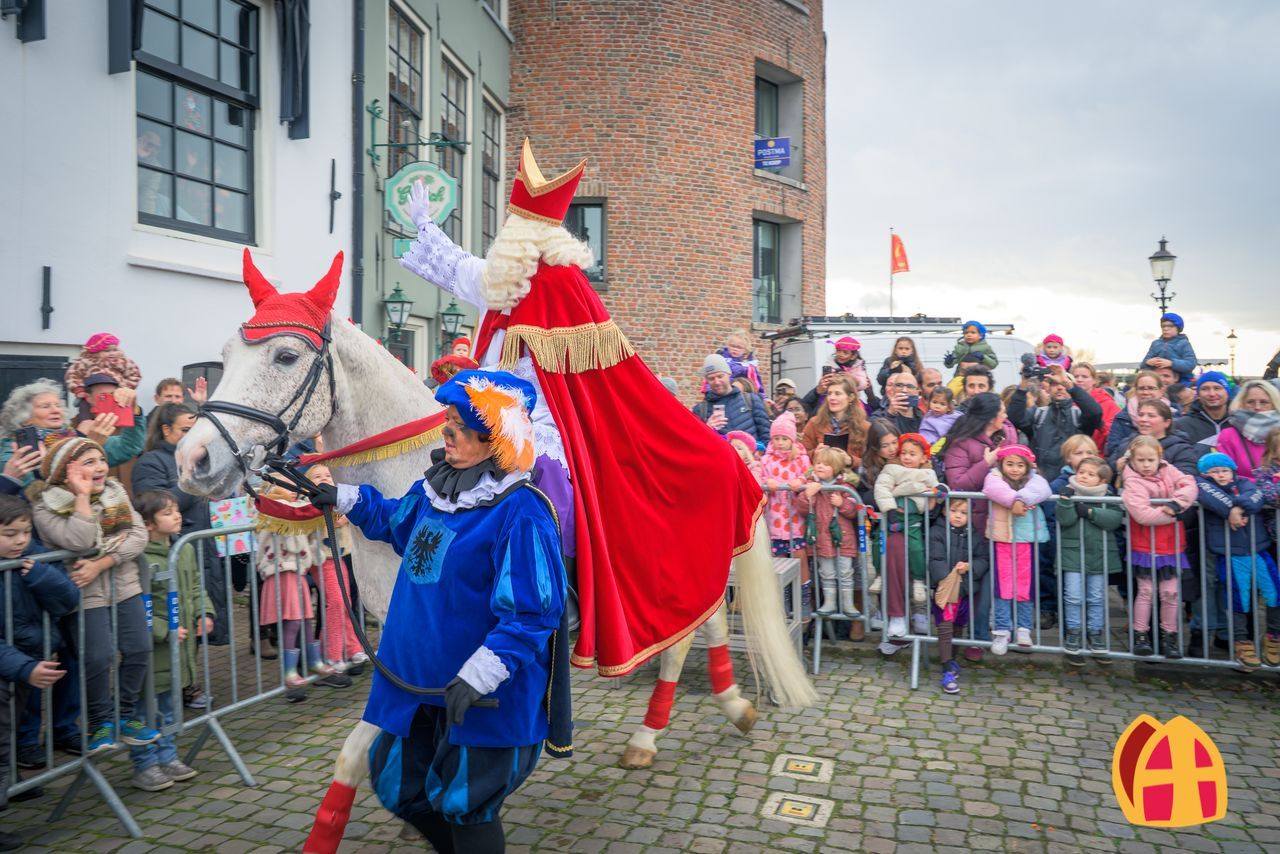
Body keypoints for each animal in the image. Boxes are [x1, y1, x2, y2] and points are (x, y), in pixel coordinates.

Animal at [176, 253, 818, 852]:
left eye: (286, 356)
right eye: (225, 356)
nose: (193, 459)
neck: (422, 470)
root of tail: (724, 440)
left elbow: (358, 755)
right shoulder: (403, 644)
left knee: (689, 635)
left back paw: (660, 730)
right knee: (704, 627)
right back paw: (714, 710)